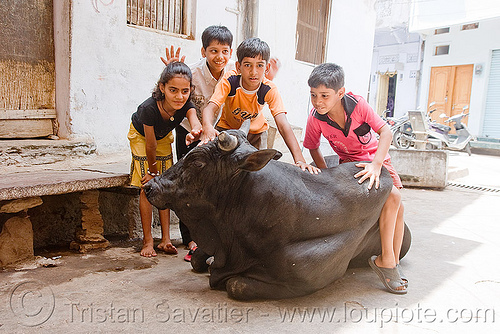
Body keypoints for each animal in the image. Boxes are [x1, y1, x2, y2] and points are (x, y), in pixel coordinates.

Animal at [145, 128, 410, 300]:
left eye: (197, 162)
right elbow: (201, 261)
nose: (149, 186)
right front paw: (208, 262)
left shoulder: (305, 274)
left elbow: (236, 286)